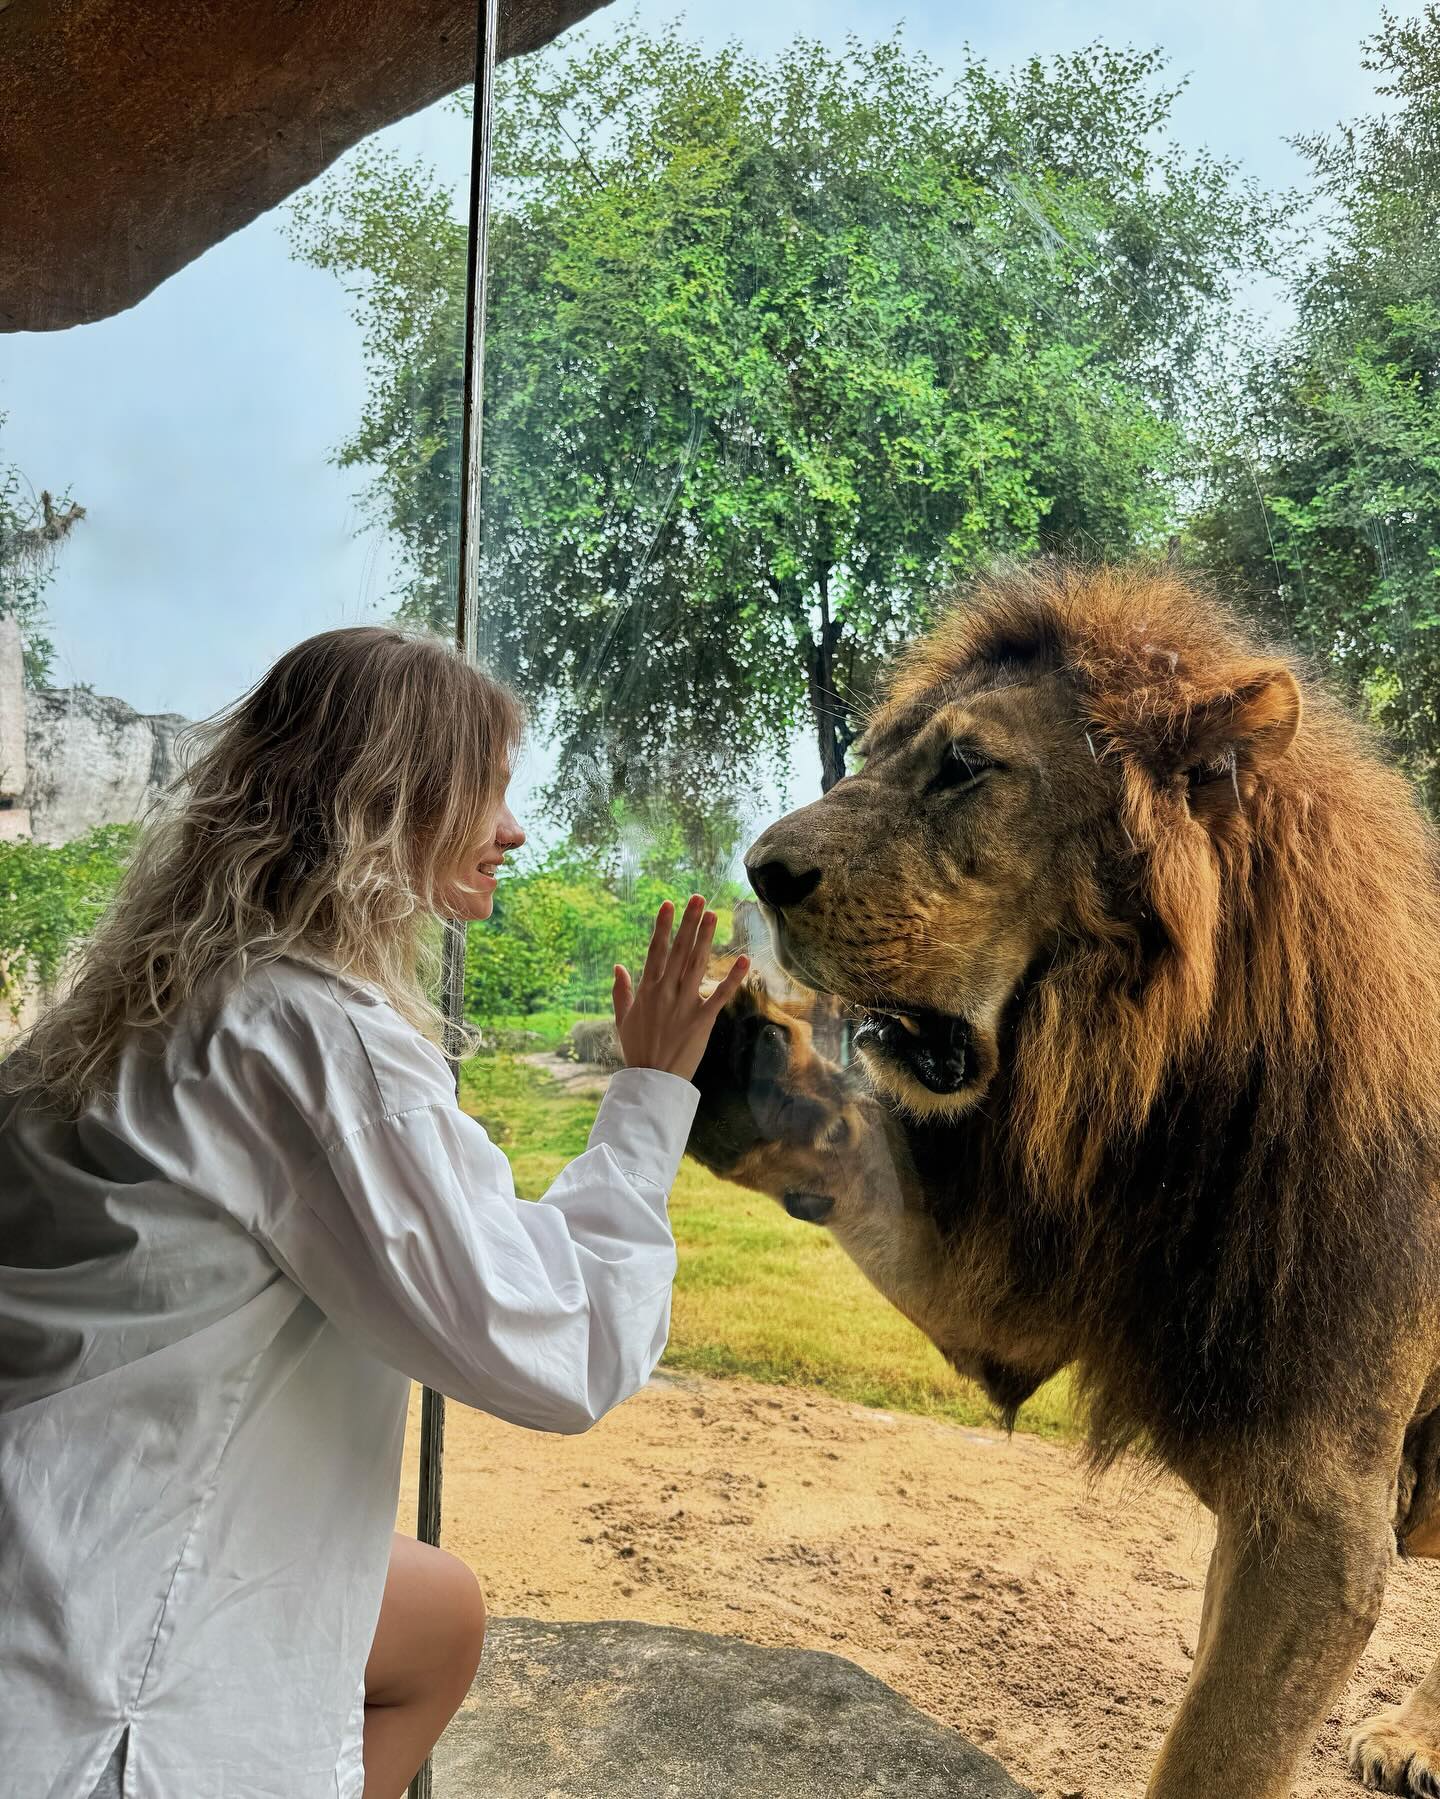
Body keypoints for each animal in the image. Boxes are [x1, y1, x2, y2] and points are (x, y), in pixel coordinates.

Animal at [684, 561, 1440, 1799]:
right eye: (888, 750)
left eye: (965, 766)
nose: (759, 869)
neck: (1151, 1099)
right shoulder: (1029, 1283)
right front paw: (729, 1060)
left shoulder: (1318, 1521)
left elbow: (1214, 1758)